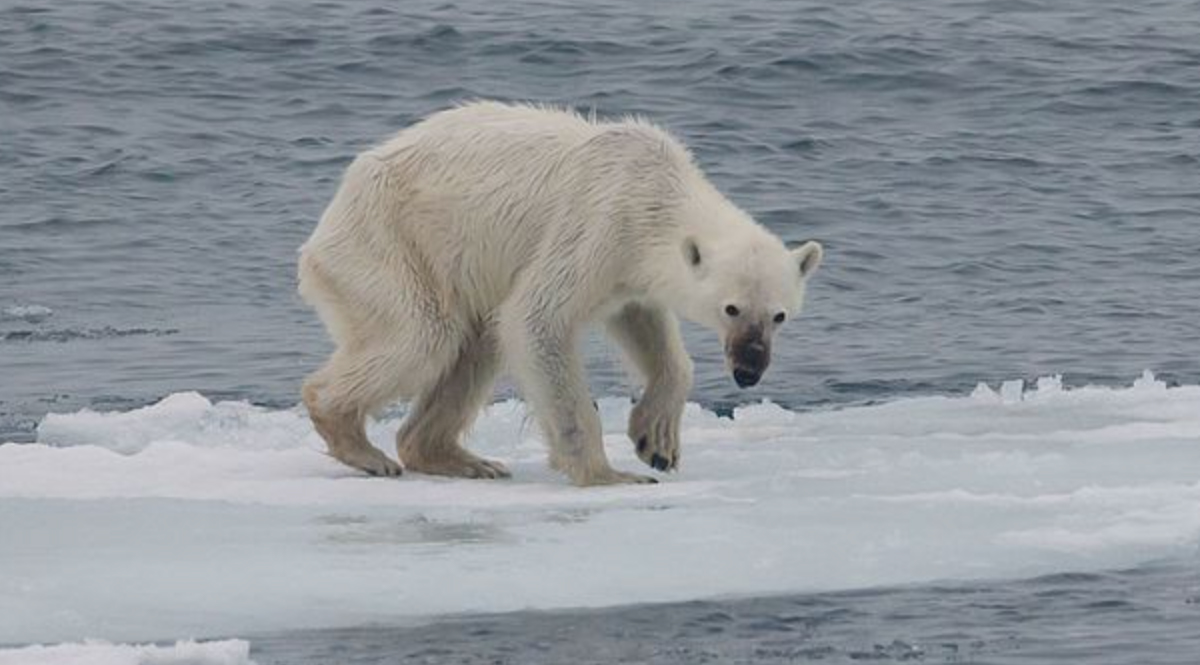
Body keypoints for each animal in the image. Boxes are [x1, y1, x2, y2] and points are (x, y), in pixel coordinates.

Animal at [300, 105, 825, 487]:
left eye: (779, 315)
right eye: (730, 308)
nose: (749, 369)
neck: (655, 191)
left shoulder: (628, 270)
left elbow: (646, 326)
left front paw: (656, 440)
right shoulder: (597, 224)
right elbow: (537, 320)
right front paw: (609, 474)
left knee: (475, 345)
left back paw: (460, 459)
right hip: (391, 244)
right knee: (424, 335)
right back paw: (360, 443)